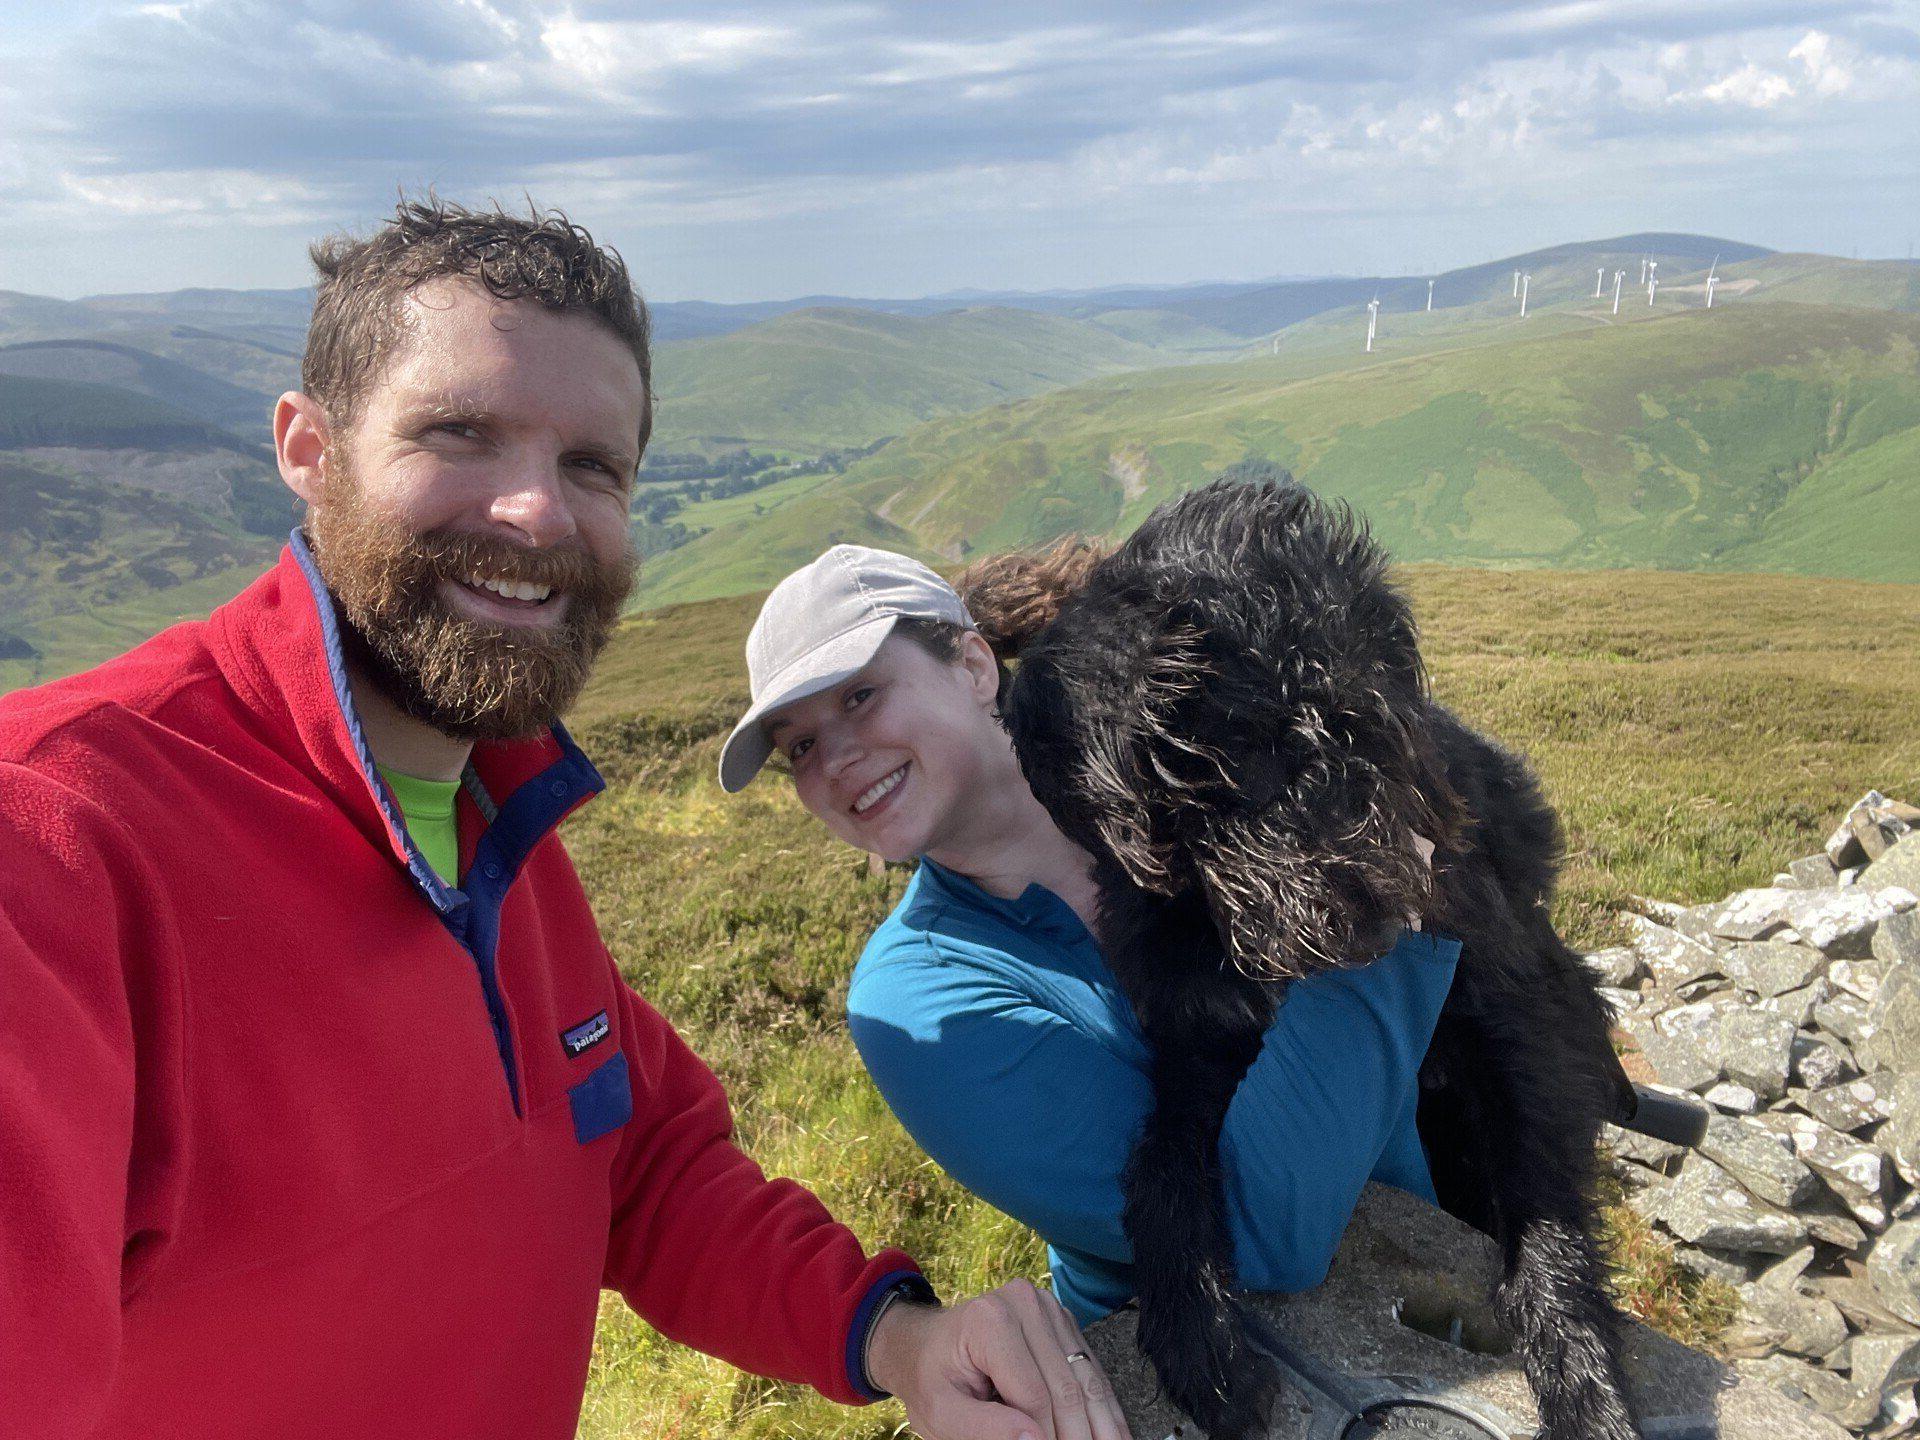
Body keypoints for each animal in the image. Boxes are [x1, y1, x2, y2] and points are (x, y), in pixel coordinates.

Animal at [967, 481, 1643, 1440]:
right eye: (1224, 743)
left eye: (1363, 723)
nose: (1383, 919)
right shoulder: (1199, 1049)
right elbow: (1161, 1169)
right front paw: (1198, 1332)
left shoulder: (1519, 1011)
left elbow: (1543, 1202)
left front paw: (1582, 1381)